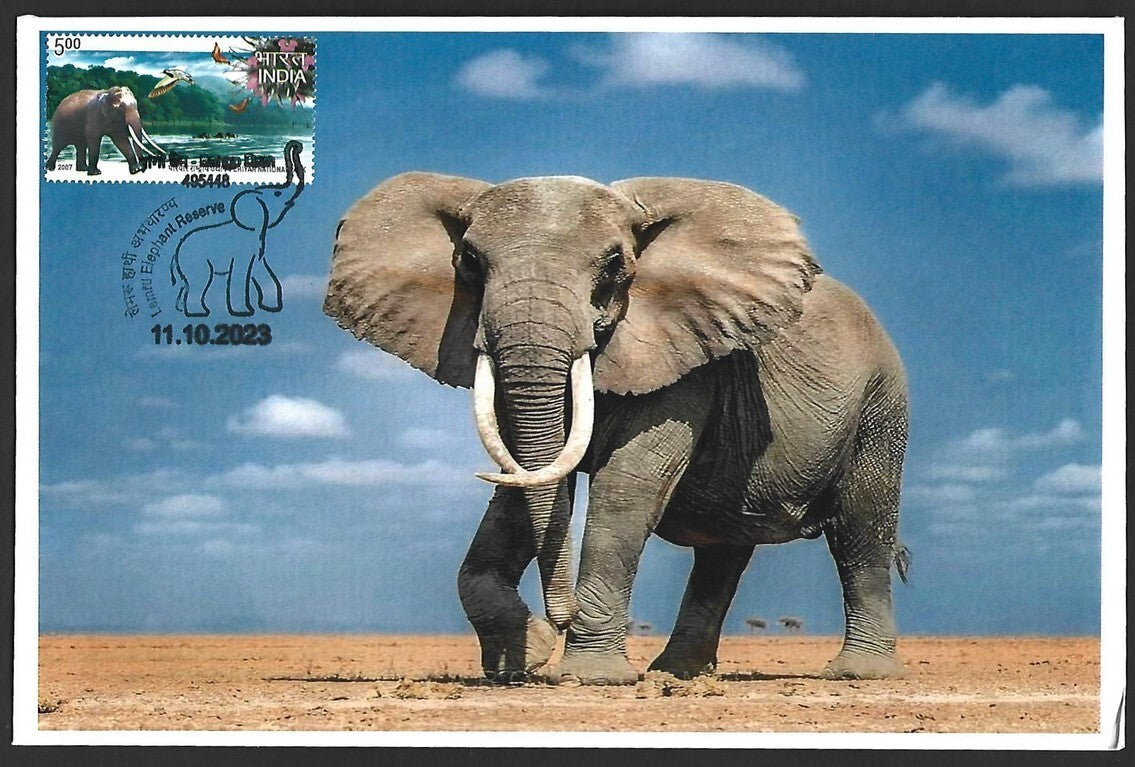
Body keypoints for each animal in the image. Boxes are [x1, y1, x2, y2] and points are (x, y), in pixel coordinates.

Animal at [171, 141, 304, 318]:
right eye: (277, 193)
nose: (298, 147)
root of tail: (175, 254)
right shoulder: (243, 248)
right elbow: (242, 272)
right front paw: (245, 311)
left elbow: (259, 268)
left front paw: (269, 307)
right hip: (195, 261)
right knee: (199, 281)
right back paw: (199, 313)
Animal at [324, 173, 910, 685]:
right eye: (469, 261)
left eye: (613, 265)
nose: (558, 619)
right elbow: (522, 486)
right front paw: (525, 658)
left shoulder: (683, 358)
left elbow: (626, 489)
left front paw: (585, 677)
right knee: (723, 552)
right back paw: (675, 675)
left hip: (882, 405)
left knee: (860, 531)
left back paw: (858, 673)